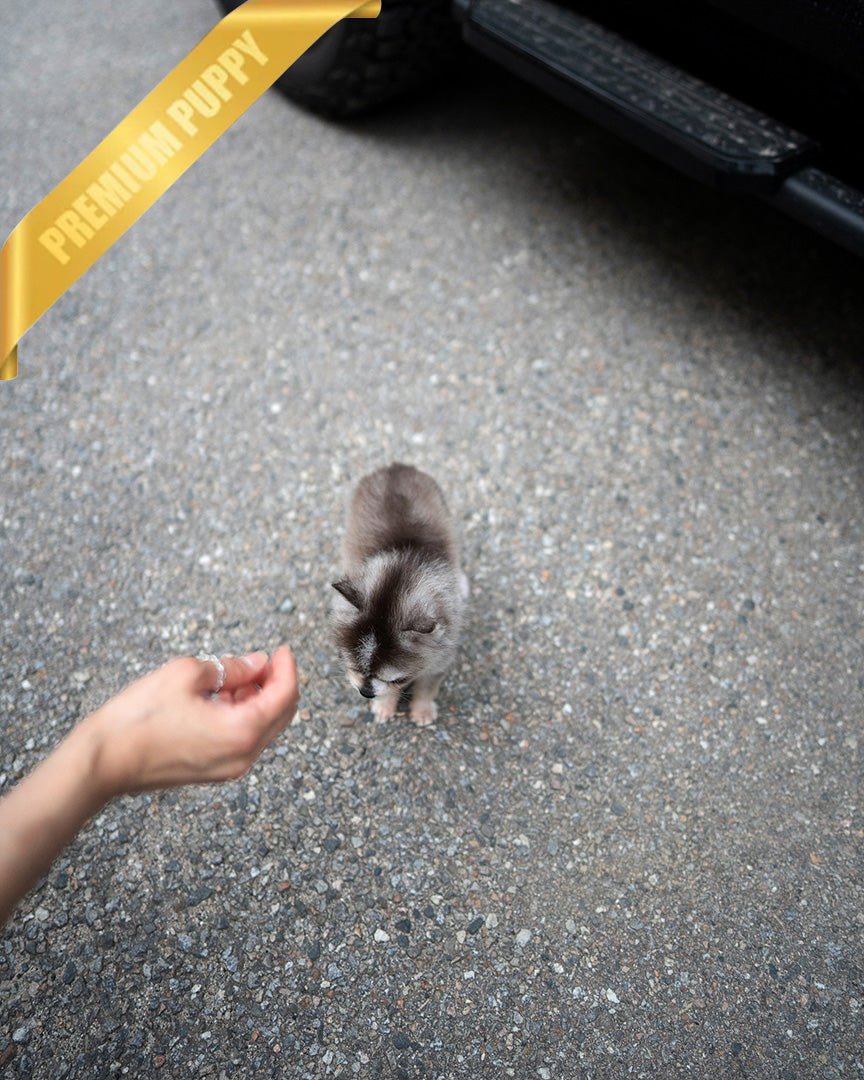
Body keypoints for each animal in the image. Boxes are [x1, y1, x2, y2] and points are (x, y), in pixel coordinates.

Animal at [331, 463, 467, 726]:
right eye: (352, 665)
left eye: (398, 679)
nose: (366, 692)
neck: (404, 563)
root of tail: (396, 467)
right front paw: (385, 705)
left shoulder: (439, 660)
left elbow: (427, 687)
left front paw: (422, 709)